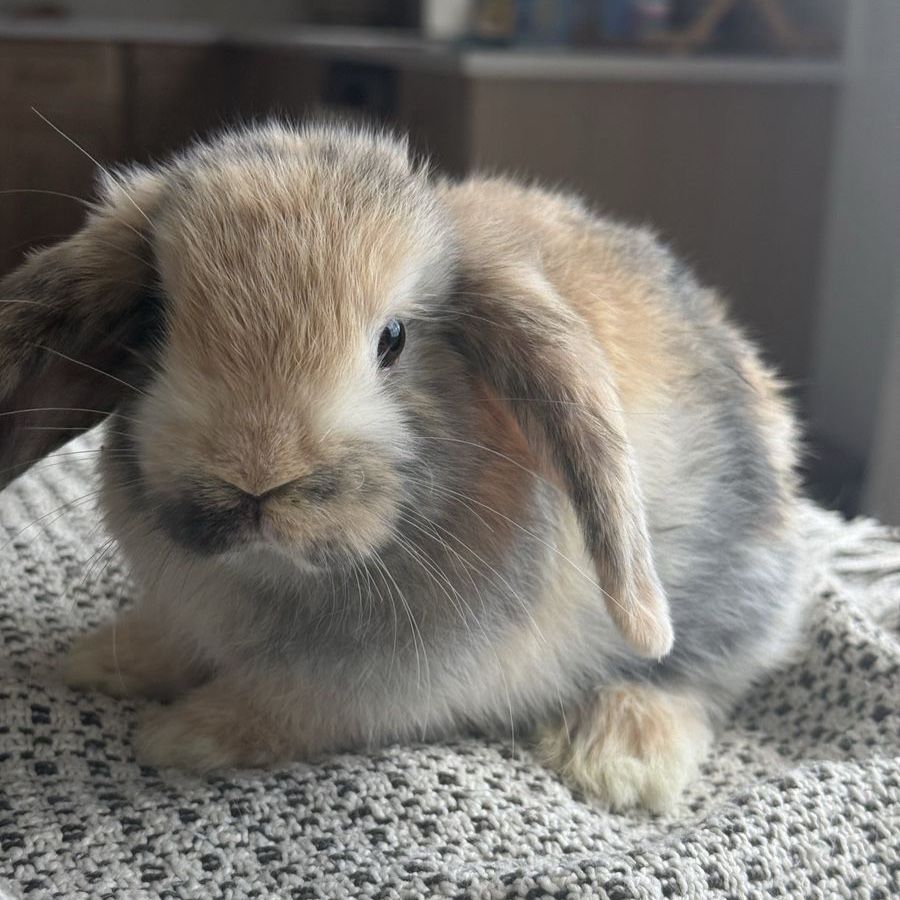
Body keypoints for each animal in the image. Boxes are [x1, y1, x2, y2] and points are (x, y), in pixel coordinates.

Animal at [0, 121, 803, 812]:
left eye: (394, 339)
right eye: (158, 321)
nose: (256, 475)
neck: (273, 574)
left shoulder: (372, 691)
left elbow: (279, 709)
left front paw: (180, 735)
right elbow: (171, 641)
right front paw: (103, 661)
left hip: (728, 591)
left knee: (700, 678)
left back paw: (620, 757)